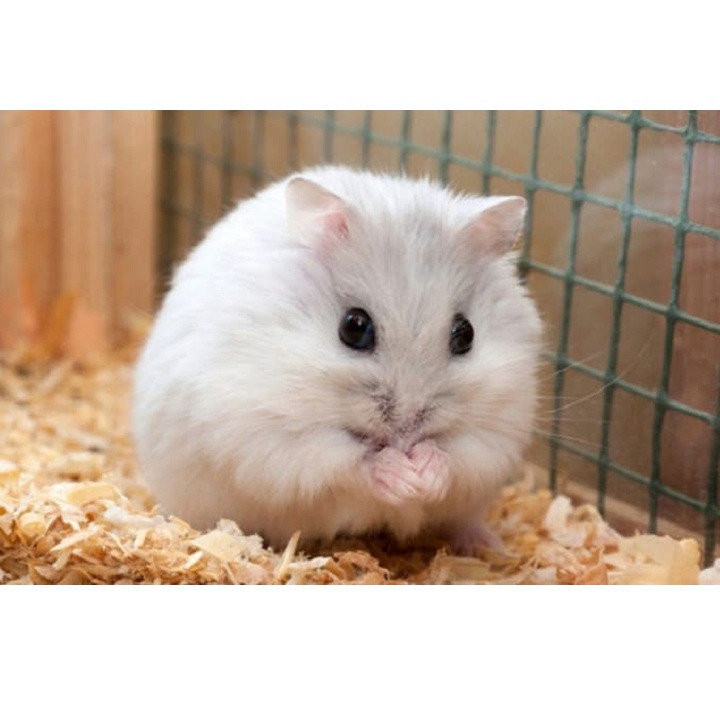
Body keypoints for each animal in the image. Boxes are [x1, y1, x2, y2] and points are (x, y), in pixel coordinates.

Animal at [132, 166, 542, 552]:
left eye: (466, 334)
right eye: (354, 327)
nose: (407, 433)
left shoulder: (498, 430)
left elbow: (459, 455)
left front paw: (424, 474)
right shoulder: (271, 435)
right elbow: (346, 461)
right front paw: (402, 476)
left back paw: (488, 546)